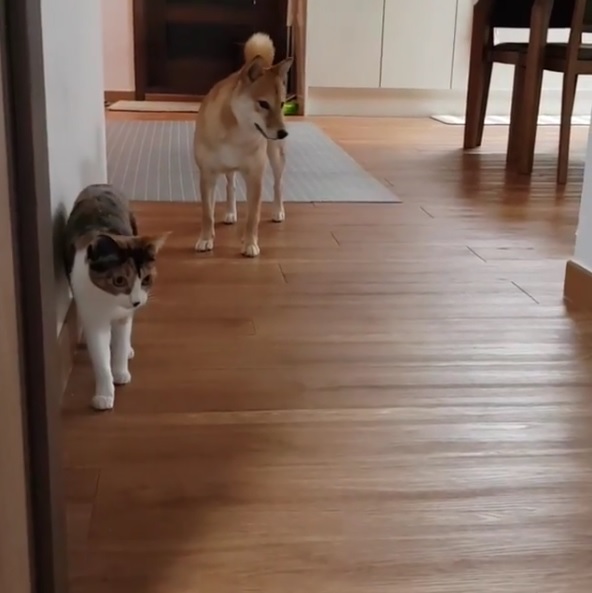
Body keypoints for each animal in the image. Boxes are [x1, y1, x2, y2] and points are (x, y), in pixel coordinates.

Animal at [63, 184, 169, 411]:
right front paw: (104, 394)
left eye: (146, 279)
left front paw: (120, 372)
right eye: (119, 280)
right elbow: (100, 355)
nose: (137, 301)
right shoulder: (93, 316)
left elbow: (121, 341)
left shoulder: (124, 315)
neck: (109, 300)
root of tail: (101, 185)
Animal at [193, 32, 293, 257]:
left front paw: (250, 244)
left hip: (276, 157)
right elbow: (206, 214)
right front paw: (205, 239)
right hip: (228, 169)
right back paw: (230, 212)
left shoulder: (254, 176)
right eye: (263, 104)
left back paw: (278, 211)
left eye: (282, 104)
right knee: (230, 186)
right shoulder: (208, 174)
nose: (283, 133)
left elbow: (253, 217)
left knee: (278, 184)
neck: (236, 134)